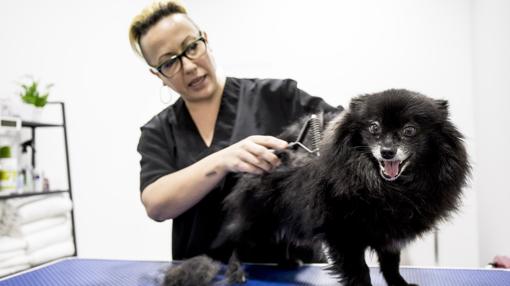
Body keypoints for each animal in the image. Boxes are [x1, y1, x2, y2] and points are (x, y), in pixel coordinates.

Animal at [163, 89, 470, 286]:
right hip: (256, 222)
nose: (387, 151)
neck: (386, 188)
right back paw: (237, 271)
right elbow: (360, 271)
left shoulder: (390, 232)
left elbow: (390, 264)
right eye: (374, 128)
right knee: (236, 243)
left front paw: (400, 285)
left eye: (409, 131)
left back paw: (288, 262)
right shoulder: (343, 235)